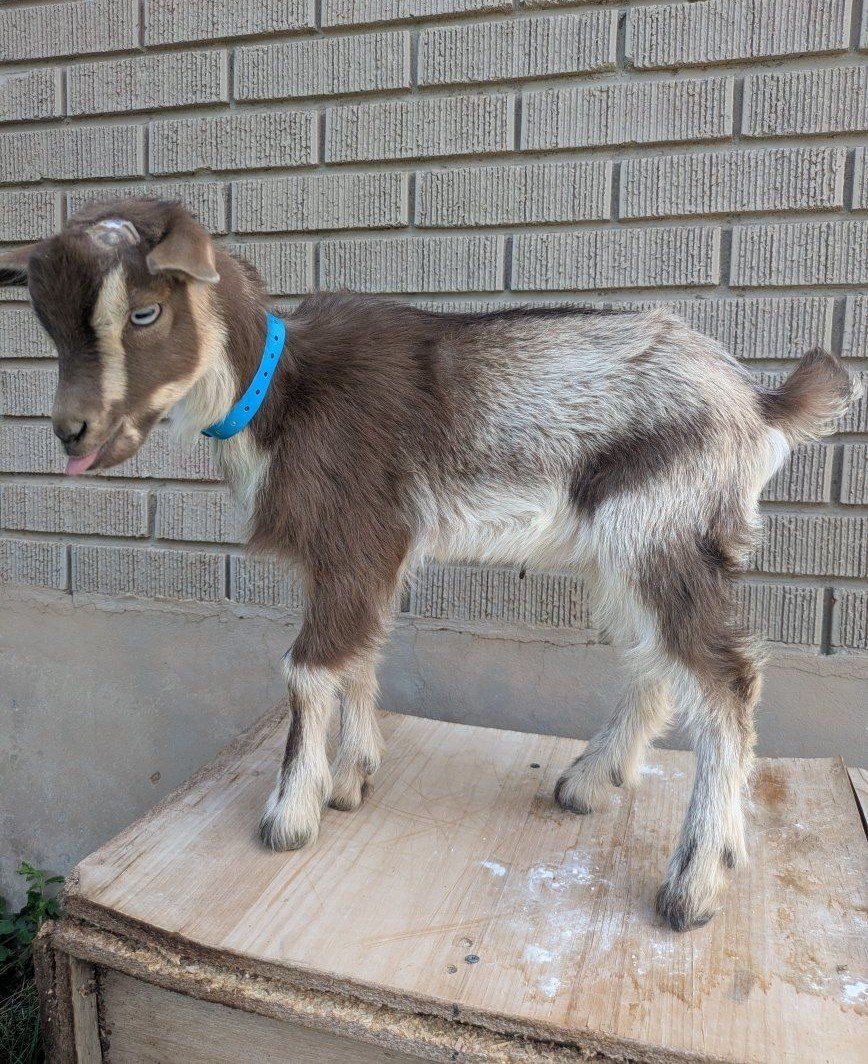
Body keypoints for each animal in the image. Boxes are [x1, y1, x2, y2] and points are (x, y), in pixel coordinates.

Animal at [1, 198, 859, 931]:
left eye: (143, 311)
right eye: (47, 323)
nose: (72, 432)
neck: (276, 390)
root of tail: (757, 404)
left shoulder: (357, 535)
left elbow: (309, 668)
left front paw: (290, 816)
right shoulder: (355, 557)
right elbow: (359, 653)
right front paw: (352, 779)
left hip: (662, 531)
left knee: (723, 680)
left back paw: (694, 883)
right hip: (621, 555)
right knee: (654, 663)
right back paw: (597, 786)